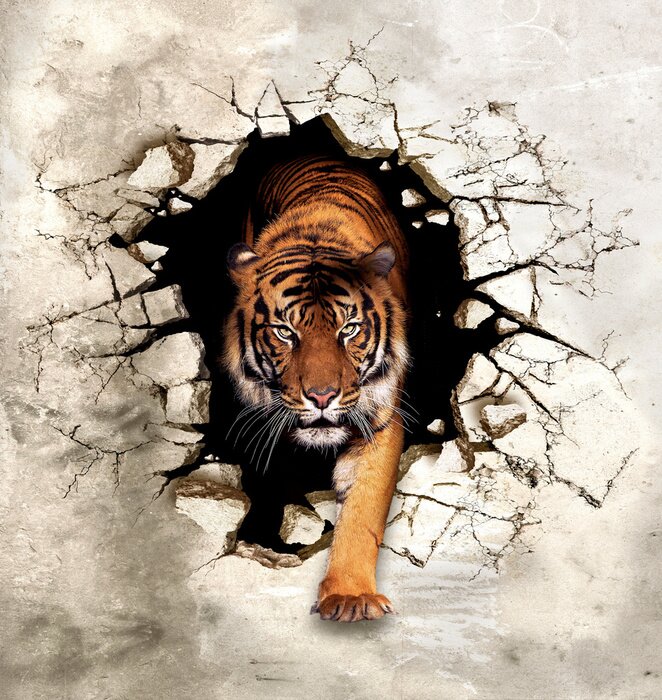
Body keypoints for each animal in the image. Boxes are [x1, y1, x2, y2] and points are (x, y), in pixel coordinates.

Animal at [223, 154, 409, 622]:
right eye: (285, 332)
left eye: (350, 329)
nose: (322, 397)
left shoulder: (380, 421)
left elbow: (363, 511)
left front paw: (351, 595)